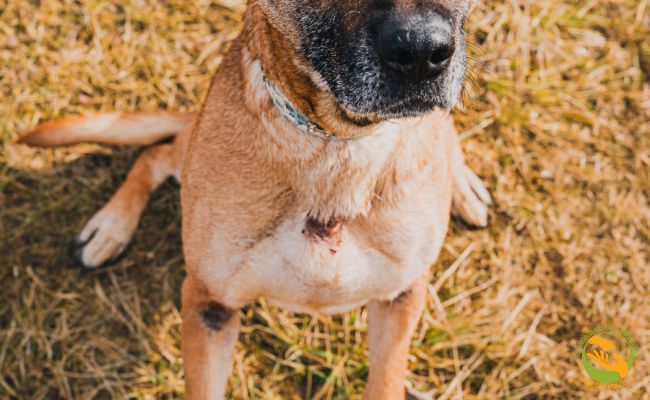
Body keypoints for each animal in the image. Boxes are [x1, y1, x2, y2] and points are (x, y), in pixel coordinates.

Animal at [18, 0, 492, 398]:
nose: (421, 52)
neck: (336, 145)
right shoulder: (210, 306)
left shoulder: (400, 300)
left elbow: (386, 381)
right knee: (155, 154)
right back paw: (110, 228)